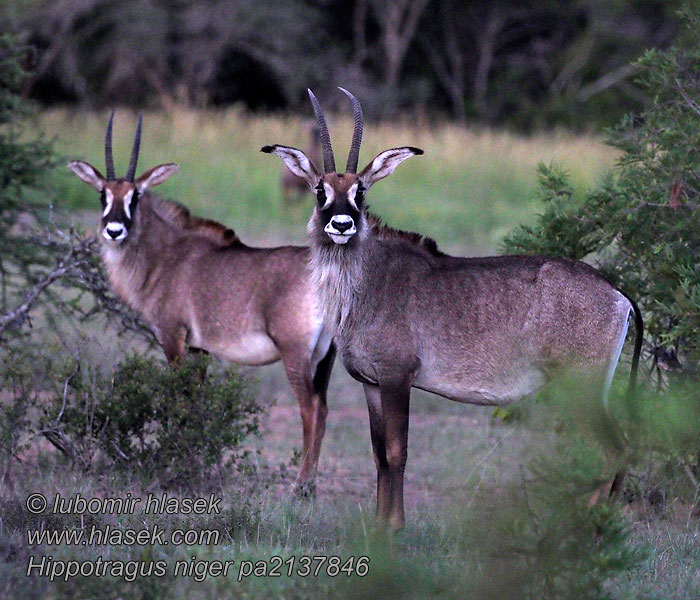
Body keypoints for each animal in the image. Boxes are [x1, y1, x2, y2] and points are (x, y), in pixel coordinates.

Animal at [67, 115, 334, 494]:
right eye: (102, 193)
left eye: (136, 196)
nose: (114, 230)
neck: (164, 257)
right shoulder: (199, 347)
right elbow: (196, 402)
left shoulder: (172, 336)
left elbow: (180, 399)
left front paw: (177, 462)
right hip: (325, 358)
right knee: (323, 409)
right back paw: (309, 487)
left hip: (296, 354)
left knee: (309, 409)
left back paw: (300, 487)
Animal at [264, 86, 644, 528]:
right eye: (320, 190)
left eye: (361, 191)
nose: (342, 225)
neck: (365, 282)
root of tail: (617, 294)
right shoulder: (371, 384)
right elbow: (379, 456)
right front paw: (378, 527)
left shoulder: (397, 377)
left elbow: (397, 452)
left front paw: (394, 527)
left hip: (582, 387)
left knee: (615, 448)